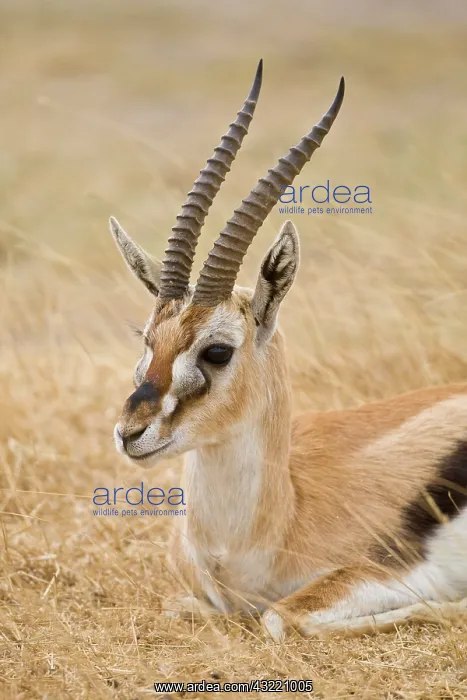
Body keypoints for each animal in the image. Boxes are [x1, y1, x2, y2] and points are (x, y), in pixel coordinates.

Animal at [109, 61, 467, 640]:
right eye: (148, 339)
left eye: (217, 351)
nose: (130, 432)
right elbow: (182, 608)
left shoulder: (391, 571)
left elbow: (281, 618)